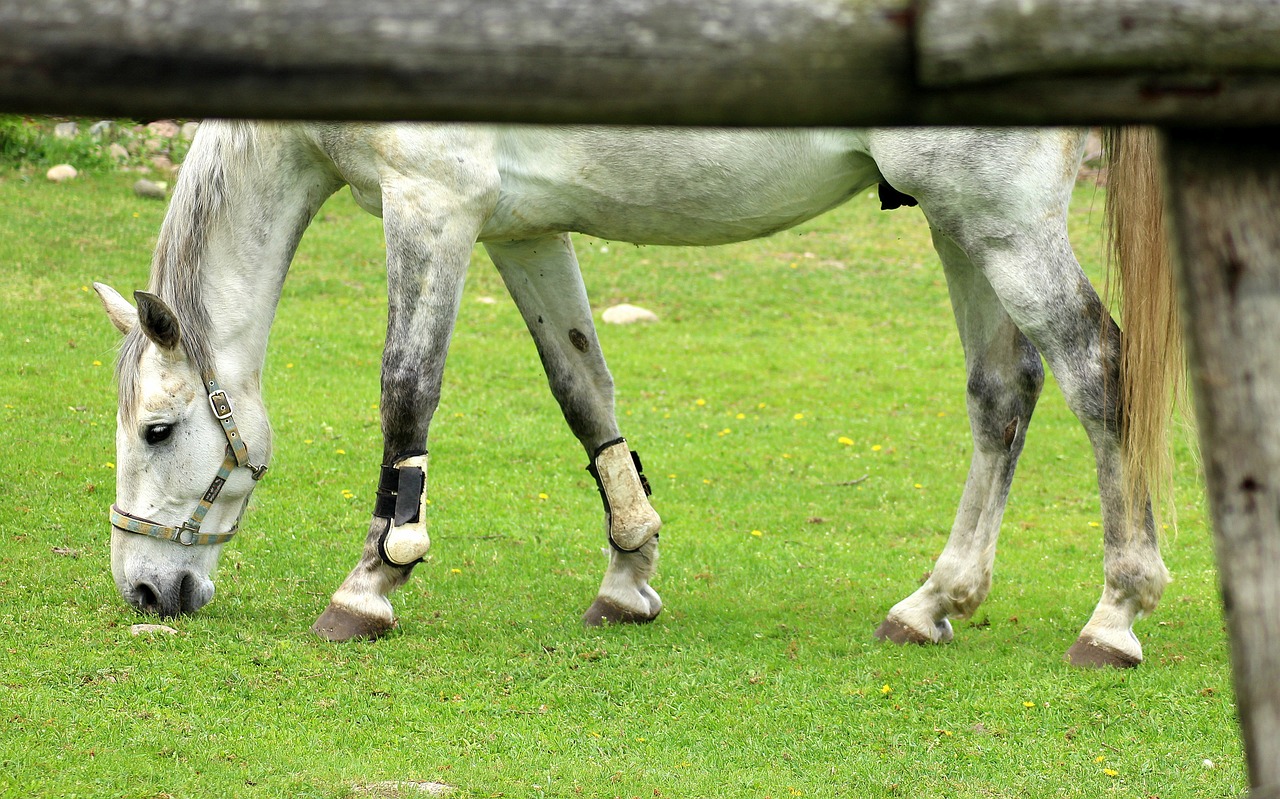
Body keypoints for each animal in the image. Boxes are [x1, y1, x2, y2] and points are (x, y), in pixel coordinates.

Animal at [90, 120, 1172, 665]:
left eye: (159, 430)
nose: (146, 589)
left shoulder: (431, 204)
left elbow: (407, 392)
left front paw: (369, 586)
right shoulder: (521, 229)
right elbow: (584, 391)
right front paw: (628, 572)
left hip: (1000, 219)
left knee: (1095, 369)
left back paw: (1114, 615)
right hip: (957, 220)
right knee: (1003, 392)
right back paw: (933, 601)